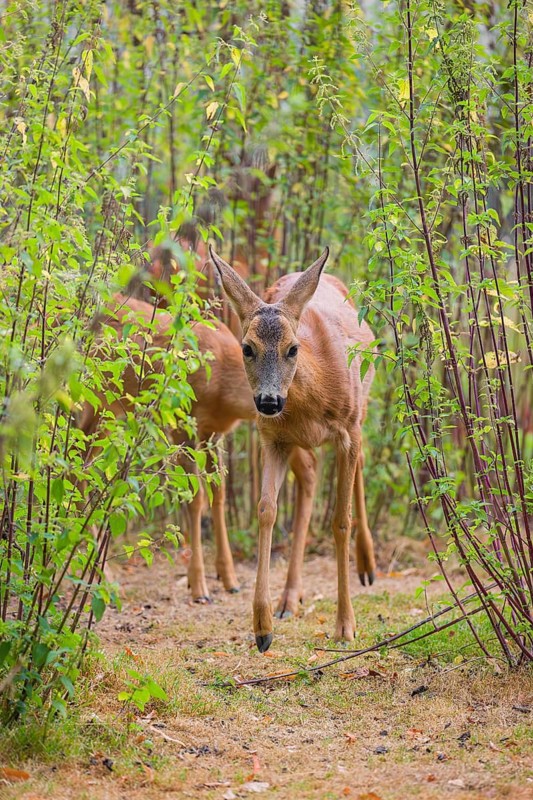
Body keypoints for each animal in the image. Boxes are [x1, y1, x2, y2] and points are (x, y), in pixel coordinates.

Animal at [209, 245, 376, 652]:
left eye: (293, 348)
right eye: (247, 348)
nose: (269, 402)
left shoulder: (347, 429)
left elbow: (340, 521)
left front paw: (345, 626)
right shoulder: (273, 439)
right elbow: (266, 511)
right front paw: (262, 627)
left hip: (361, 409)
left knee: (362, 459)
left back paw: (367, 565)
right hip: (298, 443)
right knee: (311, 476)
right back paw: (289, 598)